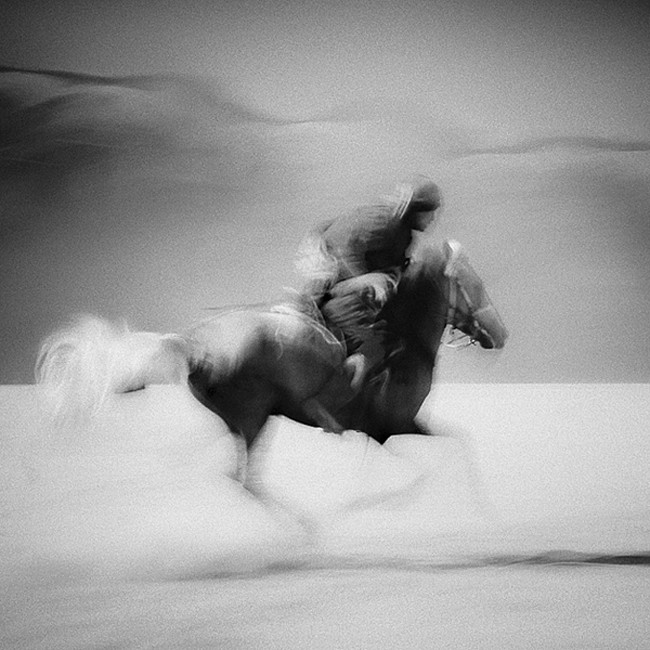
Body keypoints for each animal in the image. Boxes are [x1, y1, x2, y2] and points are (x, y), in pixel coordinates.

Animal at [35, 240, 507, 455]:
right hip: (254, 417)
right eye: (472, 284)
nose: (500, 333)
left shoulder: (399, 428)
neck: (404, 342)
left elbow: (461, 448)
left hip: (243, 421)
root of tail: (194, 342)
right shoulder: (387, 429)